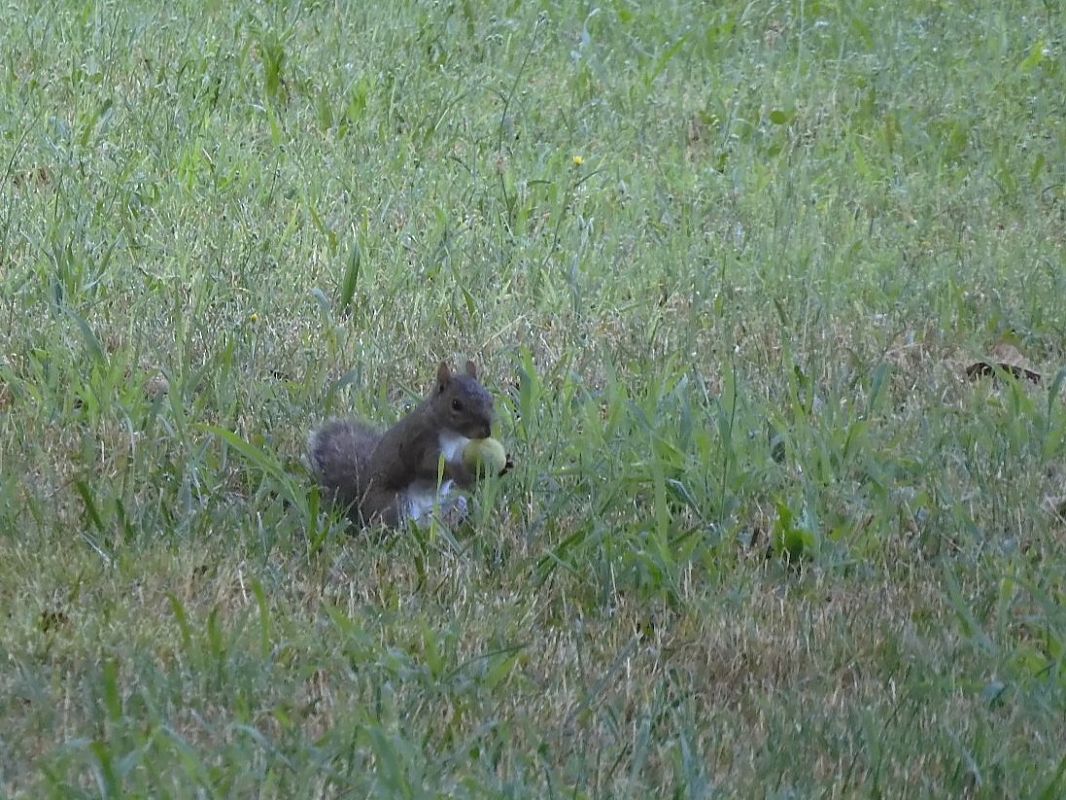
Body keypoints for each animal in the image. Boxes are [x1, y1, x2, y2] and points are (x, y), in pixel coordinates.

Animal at [307, 360, 507, 528]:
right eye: (456, 404)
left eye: (490, 399)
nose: (486, 431)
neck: (452, 434)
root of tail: (362, 503)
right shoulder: (420, 442)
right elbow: (430, 466)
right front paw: (461, 473)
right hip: (397, 505)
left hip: (453, 503)